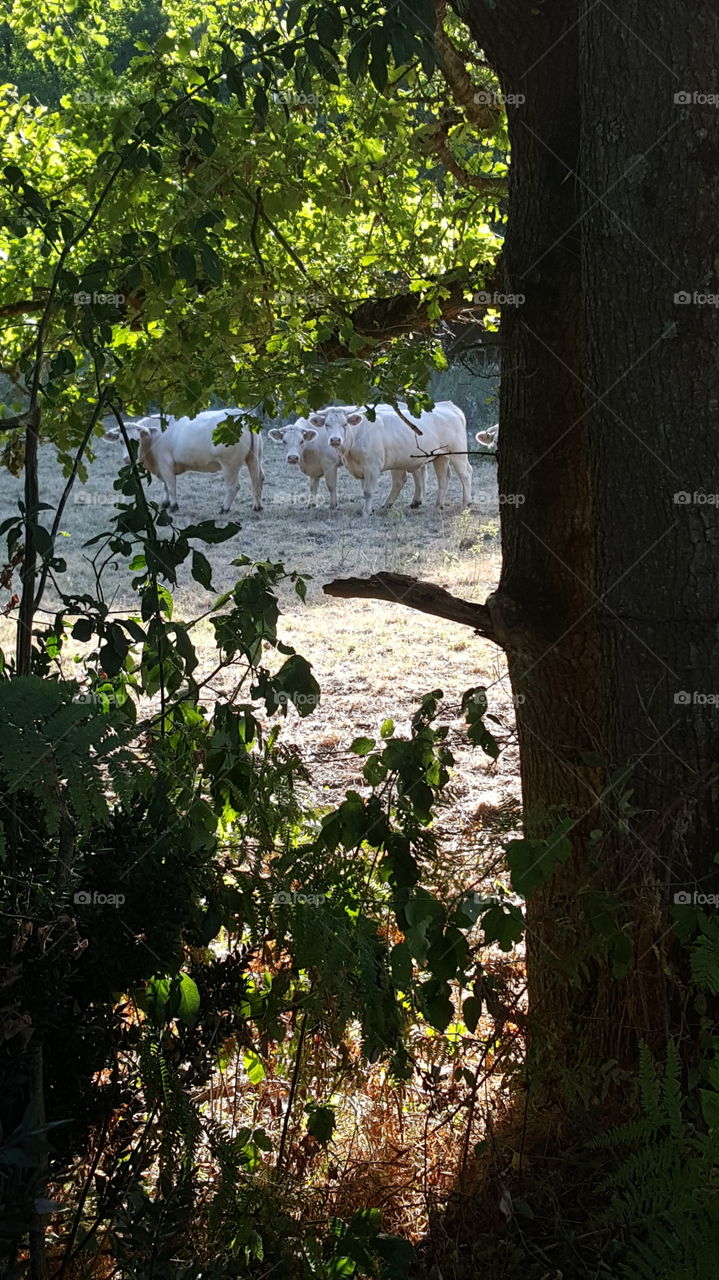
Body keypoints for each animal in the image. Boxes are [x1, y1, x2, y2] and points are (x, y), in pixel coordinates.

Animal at [104, 407, 264, 512]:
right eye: (121, 441)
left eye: (137, 440)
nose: (127, 459)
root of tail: (241, 413)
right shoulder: (161, 467)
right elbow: (165, 486)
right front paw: (165, 503)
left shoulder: (165, 464)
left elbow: (171, 486)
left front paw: (173, 506)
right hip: (254, 458)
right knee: (258, 480)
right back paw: (257, 506)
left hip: (229, 464)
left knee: (233, 486)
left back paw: (224, 508)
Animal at [308, 401, 470, 517]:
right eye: (327, 424)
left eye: (345, 424)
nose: (335, 440)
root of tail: (448, 405)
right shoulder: (362, 468)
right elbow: (364, 490)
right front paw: (368, 508)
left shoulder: (372, 467)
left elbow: (368, 491)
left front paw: (366, 512)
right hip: (440, 456)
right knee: (443, 478)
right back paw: (437, 505)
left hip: (458, 453)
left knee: (465, 475)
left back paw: (465, 503)